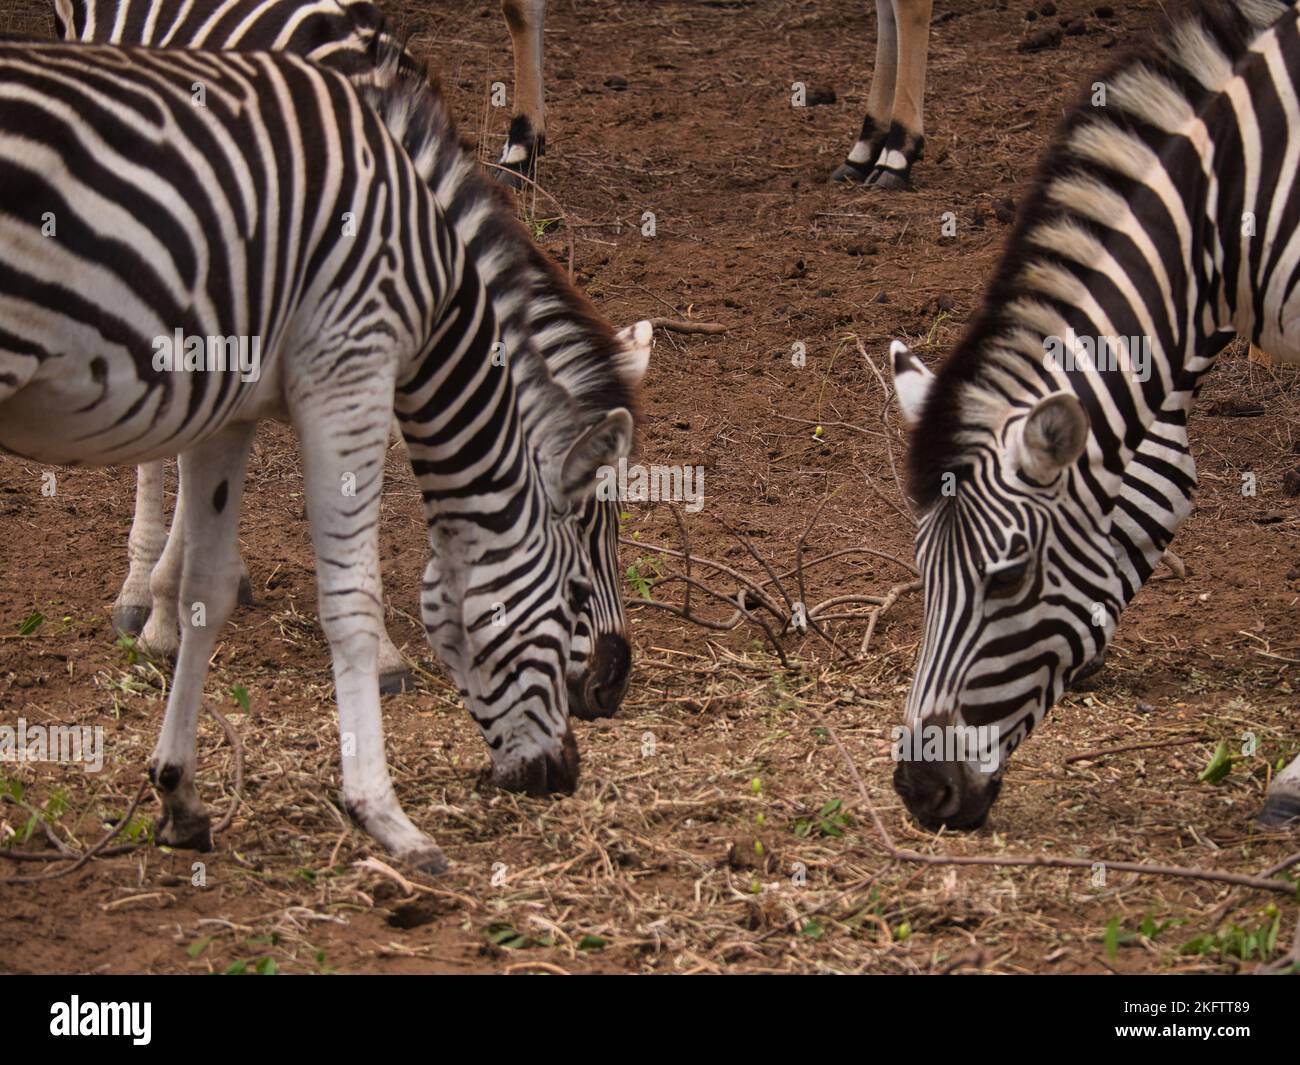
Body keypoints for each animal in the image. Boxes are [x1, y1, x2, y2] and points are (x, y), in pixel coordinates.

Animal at [0, 41, 639, 873]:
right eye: (573, 592)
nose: (564, 771)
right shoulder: (349, 373)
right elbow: (351, 601)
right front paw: (385, 814)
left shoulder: (227, 408)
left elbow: (210, 591)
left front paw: (180, 792)